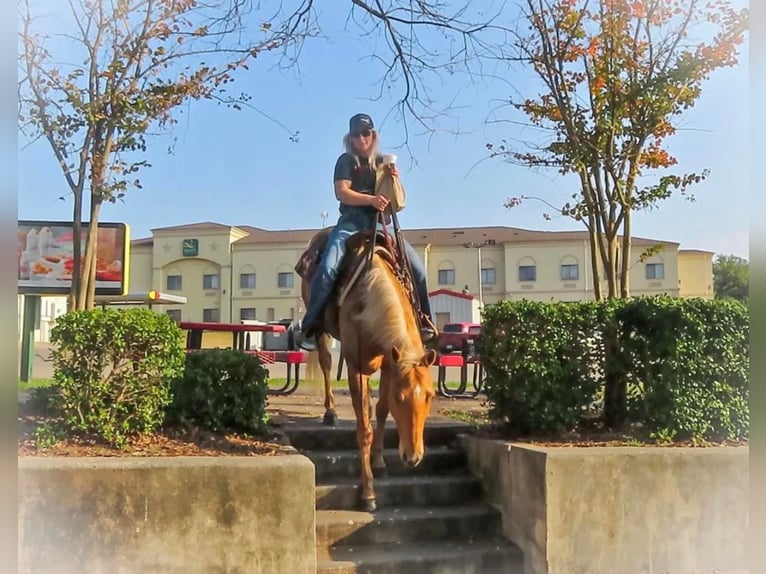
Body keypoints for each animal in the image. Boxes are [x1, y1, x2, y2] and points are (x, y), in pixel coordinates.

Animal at [296, 230, 436, 512]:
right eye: (401, 398)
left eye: (430, 396)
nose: (413, 457)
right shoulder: (356, 369)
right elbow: (364, 429)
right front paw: (368, 493)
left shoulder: (389, 364)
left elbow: (380, 411)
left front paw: (380, 462)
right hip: (321, 332)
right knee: (326, 363)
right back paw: (330, 412)